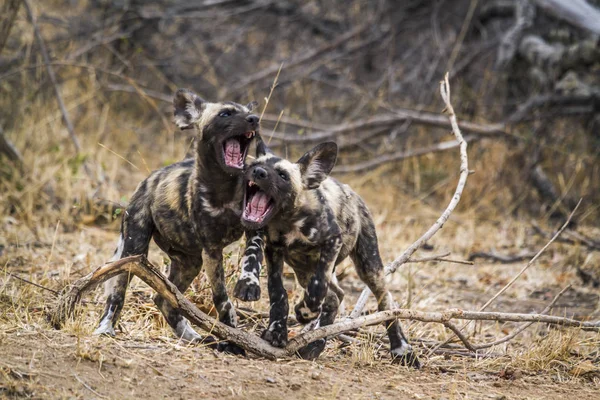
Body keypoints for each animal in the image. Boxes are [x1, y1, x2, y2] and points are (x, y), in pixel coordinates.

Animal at [94, 89, 262, 352]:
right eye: (225, 114)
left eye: (248, 112)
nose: (254, 119)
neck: (225, 187)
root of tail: (148, 180)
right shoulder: (212, 250)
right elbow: (222, 299)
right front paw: (232, 338)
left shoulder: (254, 227)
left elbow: (252, 257)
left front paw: (248, 285)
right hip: (134, 251)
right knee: (118, 293)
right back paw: (105, 328)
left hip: (190, 263)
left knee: (164, 299)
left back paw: (191, 336)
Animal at [237, 139, 420, 368]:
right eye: (255, 165)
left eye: (282, 175)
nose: (258, 172)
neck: (287, 221)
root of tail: (354, 193)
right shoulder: (273, 249)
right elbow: (277, 292)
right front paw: (277, 331)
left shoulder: (332, 242)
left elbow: (318, 288)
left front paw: (305, 312)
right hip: (302, 269)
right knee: (335, 296)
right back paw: (315, 345)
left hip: (369, 268)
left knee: (385, 300)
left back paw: (401, 349)